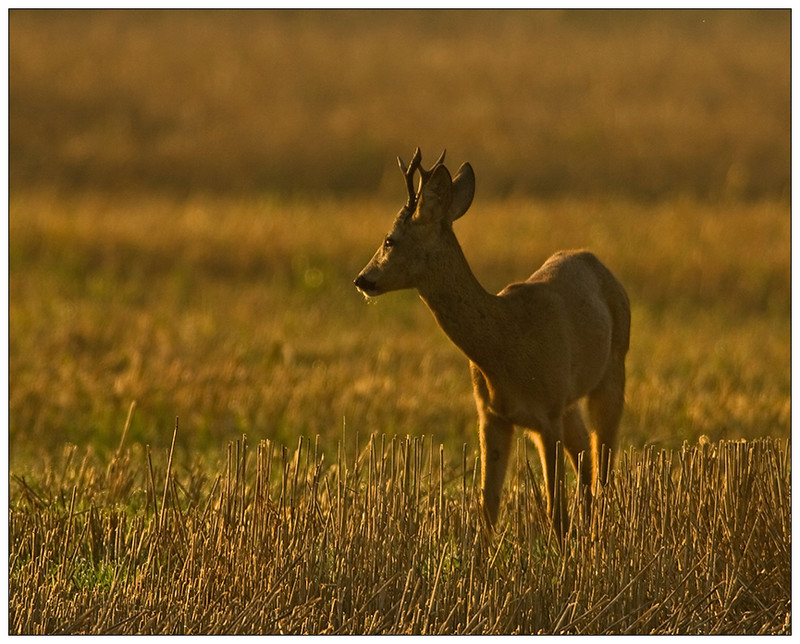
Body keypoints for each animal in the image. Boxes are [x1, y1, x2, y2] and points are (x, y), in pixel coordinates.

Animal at [354, 148, 628, 536]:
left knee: (602, 460)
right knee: (586, 459)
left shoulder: (547, 414)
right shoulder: (492, 414)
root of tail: (594, 258)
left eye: (389, 239)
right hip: (570, 402)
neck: (505, 345)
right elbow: (488, 507)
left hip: (612, 372)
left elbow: (554, 512)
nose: (362, 279)